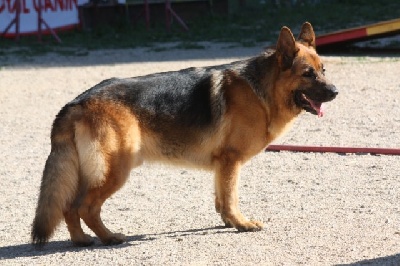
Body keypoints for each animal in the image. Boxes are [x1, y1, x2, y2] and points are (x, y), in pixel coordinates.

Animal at [32, 21, 338, 246]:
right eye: (308, 74)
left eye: (323, 70)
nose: (335, 92)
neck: (262, 89)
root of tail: (77, 102)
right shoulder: (231, 160)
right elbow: (231, 197)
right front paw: (241, 224)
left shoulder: (222, 165)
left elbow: (221, 198)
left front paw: (229, 222)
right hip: (115, 171)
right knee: (85, 208)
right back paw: (109, 238)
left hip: (93, 172)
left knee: (69, 207)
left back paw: (81, 240)